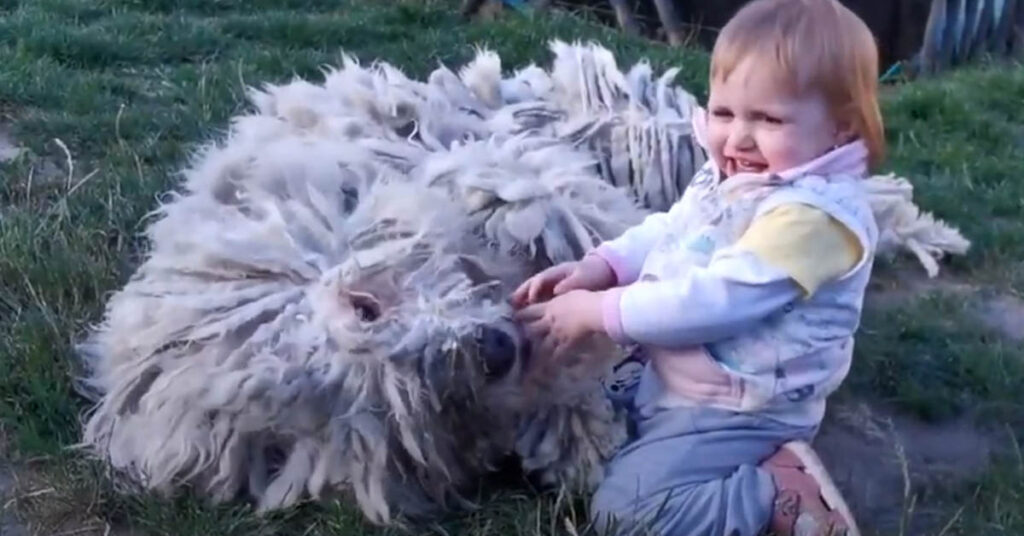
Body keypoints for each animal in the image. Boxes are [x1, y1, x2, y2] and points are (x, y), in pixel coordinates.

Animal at [77, 42, 966, 528]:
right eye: (401, 407)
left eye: (366, 306)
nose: (492, 349)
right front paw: (578, 414)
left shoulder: (498, 166)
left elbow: (552, 201)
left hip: (650, 119)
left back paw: (918, 228)